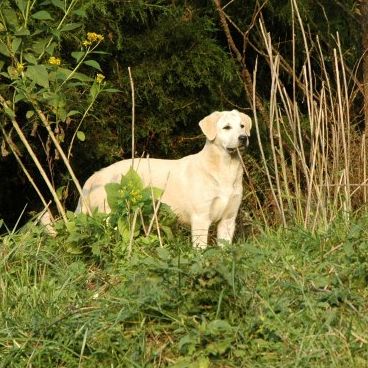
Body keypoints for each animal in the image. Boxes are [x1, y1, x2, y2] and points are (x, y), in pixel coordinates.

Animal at [76, 109, 252, 247]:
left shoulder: (228, 220)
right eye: (226, 127)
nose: (243, 138)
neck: (225, 169)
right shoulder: (201, 219)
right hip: (110, 217)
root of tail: (96, 176)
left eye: (242, 126)